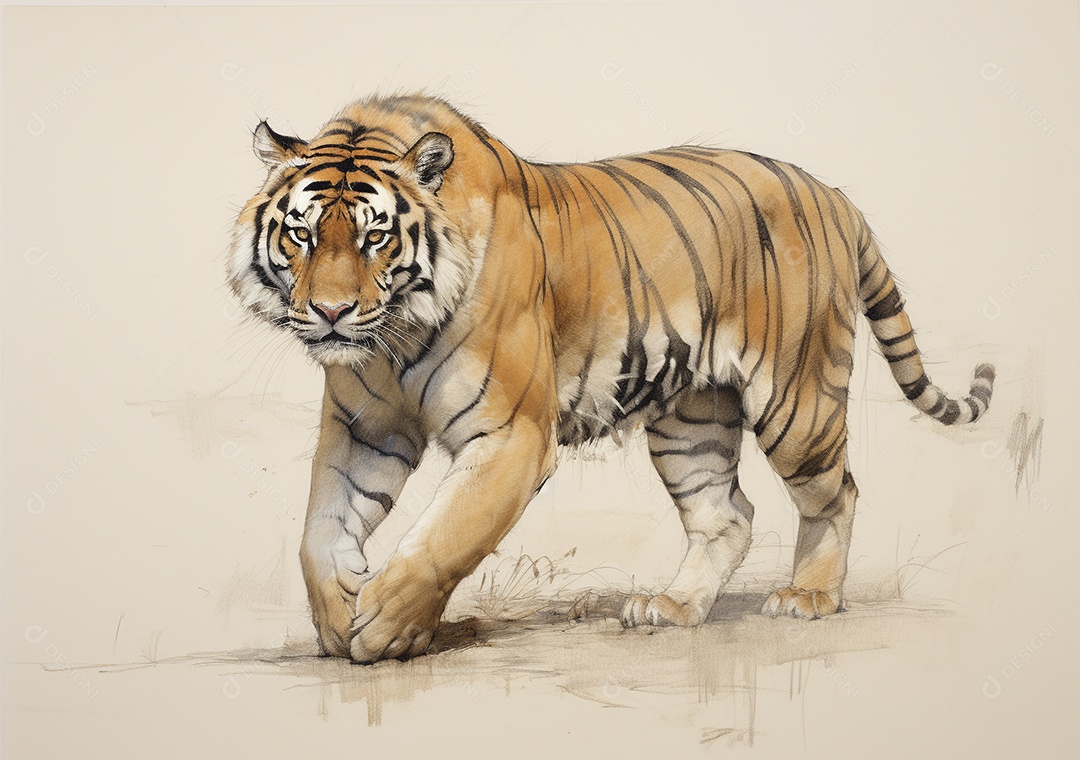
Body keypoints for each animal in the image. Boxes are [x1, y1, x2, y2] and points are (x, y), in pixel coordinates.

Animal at [227, 93, 995, 664]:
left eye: (374, 237)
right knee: (728, 515)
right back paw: (673, 608)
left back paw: (808, 597)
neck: (393, 336)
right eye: (301, 234)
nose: (330, 312)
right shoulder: (365, 429)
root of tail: (835, 195)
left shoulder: (511, 435)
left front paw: (385, 623)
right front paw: (337, 612)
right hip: (692, 417)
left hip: (797, 401)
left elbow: (447, 536)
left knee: (837, 493)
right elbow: (319, 528)